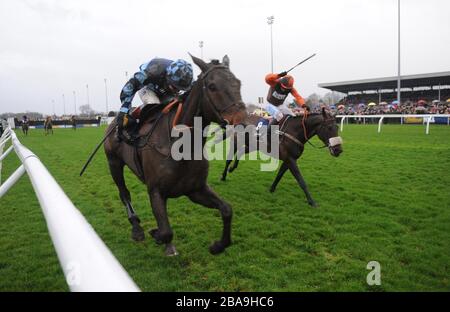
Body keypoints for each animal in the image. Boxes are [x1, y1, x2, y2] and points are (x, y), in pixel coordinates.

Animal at [103, 54, 246, 256]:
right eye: (212, 86)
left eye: (238, 83)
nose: (242, 122)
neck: (181, 145)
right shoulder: (154, 190)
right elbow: (165, 232)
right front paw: (155, 233)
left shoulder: (195, 189)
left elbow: (227, 209)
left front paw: (218, 245)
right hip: (114, 163)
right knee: (124, 193)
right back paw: (137, 228)